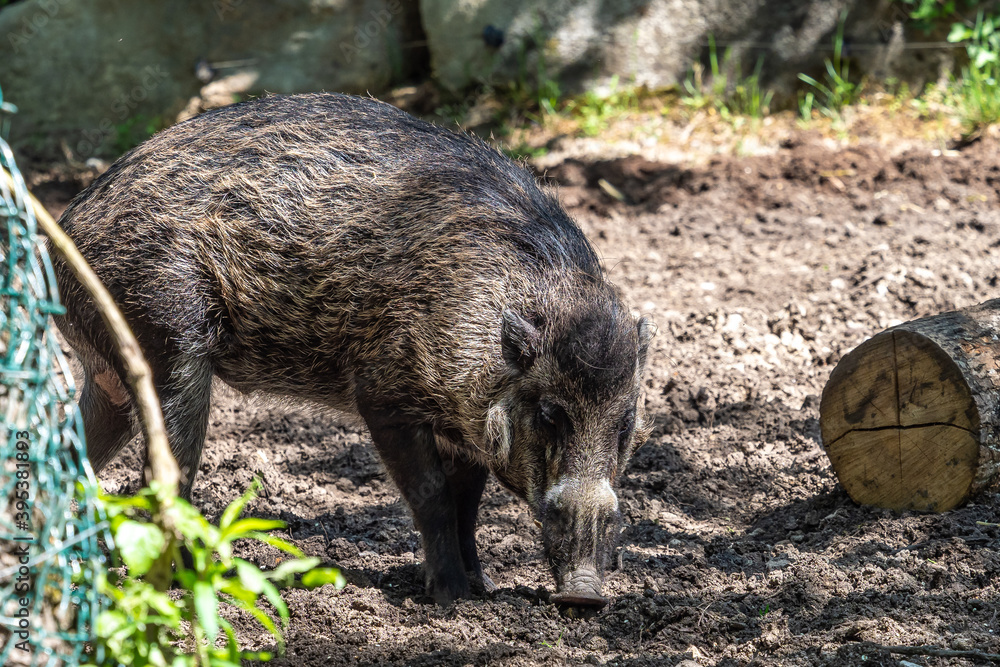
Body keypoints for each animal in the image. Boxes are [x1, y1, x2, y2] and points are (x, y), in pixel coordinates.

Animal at [51, 92, 653, 607]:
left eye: (625, 423)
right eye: (550, 414)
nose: (584, 596)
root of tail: (64, 232)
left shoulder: (465, 429)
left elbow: (468, 504)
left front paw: (480, 589)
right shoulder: (383, 395)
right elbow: (433, 496)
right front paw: (451, 599)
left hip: (109, 375)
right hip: (167, 340)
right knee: (163, 474)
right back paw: (179, 581)